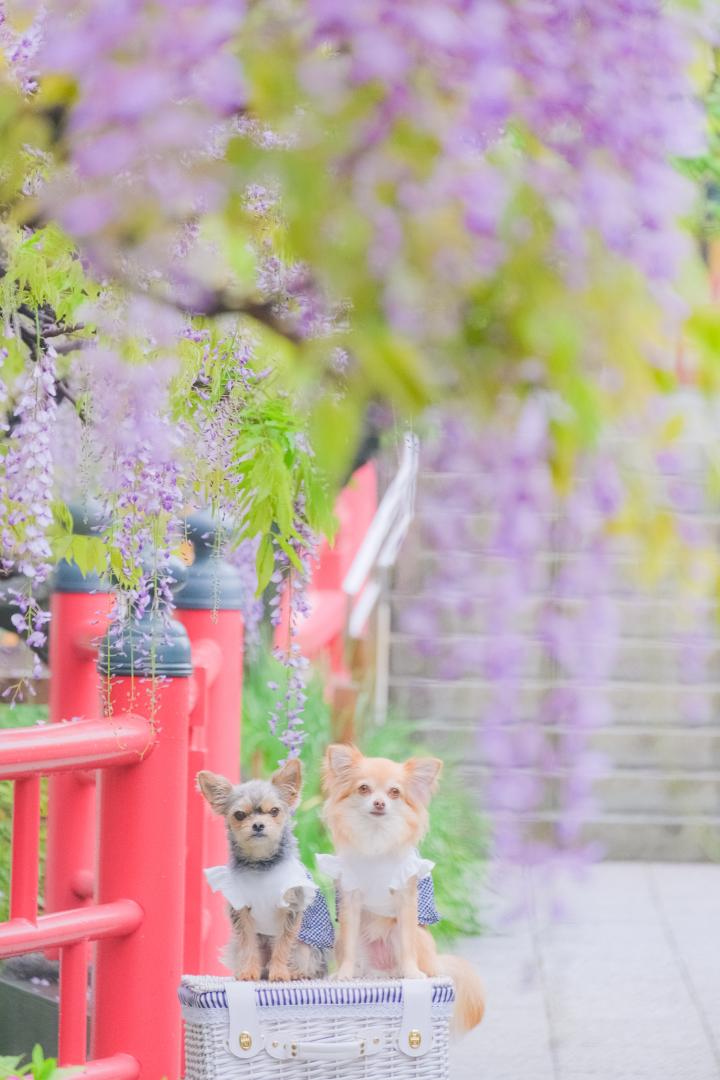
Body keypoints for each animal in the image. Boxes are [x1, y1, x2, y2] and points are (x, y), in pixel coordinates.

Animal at [197, 760, 332, 980]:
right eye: (239, 815)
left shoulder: (290, 911)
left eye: (274, 811)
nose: (258, 825)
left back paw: (294, 973)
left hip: (306, 948)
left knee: (304, 961)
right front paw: (249, 972)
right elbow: (248, 945)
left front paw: (279, 973)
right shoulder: (242, 913)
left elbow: (283, 945)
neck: (261, 865)